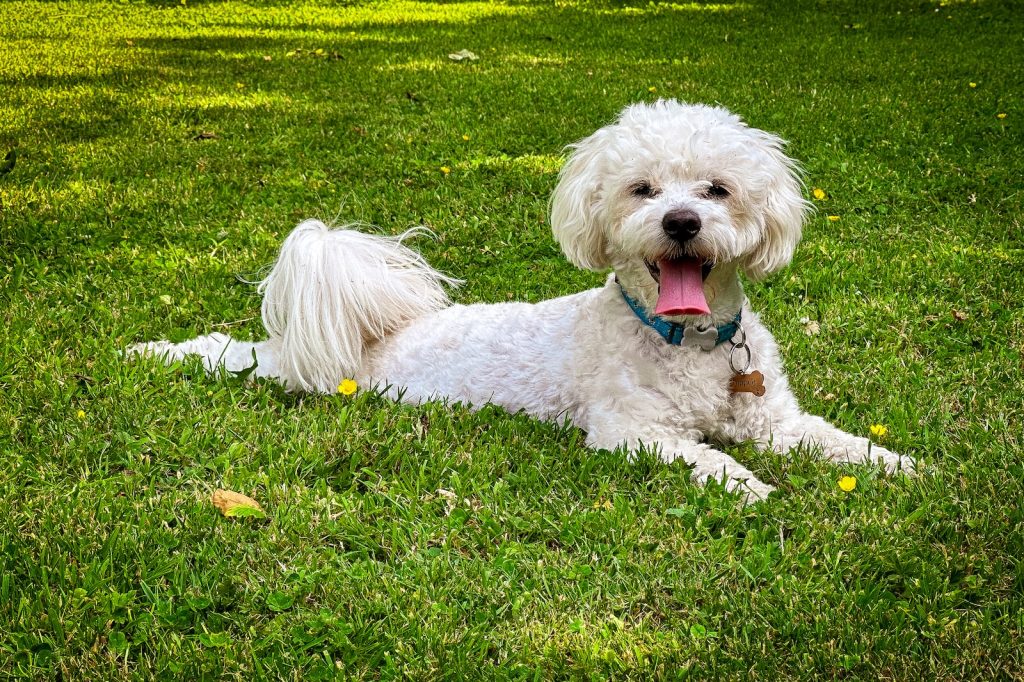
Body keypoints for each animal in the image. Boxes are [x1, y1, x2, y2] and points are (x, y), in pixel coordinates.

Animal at [134, 99, 913, 499]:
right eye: (642, 189)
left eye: (717, 189)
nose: (682, 222)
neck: (688, 343)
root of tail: (370, 336)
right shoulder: (631, 431)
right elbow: (707, 458)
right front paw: (747, 484)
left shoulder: (775, 420)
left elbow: (830, 439)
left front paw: (895, 463)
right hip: (296, 371)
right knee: (228, 351)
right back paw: (151, 350)